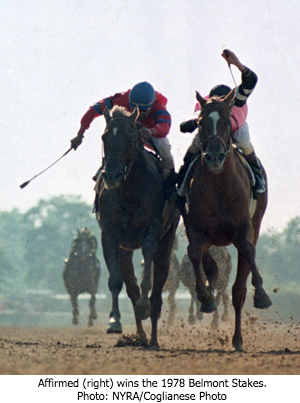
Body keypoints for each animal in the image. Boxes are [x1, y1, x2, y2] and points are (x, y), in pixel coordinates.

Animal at [97, 105, 179, 348]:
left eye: (130, 138)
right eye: (105, 137)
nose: (112, 175)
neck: (130, 191)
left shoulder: (152, 230)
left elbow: (148, 276)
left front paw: (144, 305)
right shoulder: (110, 233)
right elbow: (116, 281)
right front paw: (114, 321)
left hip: (168, 238)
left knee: (159, 287)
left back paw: (153, 339)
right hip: (125, 249)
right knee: (130, 286)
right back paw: (141, 336)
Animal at [183, 90, 272, 352]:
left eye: (226, 121)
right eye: (200, 122)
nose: (213, 157)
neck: (219, 186)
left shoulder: (244, 228)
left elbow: (248, 250)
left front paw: (261, 293)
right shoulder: (195, 227)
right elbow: (194, 253)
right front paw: (205, 296)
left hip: (257, 220)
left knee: (238, 290)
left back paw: (238, 339)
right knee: (209, 263)